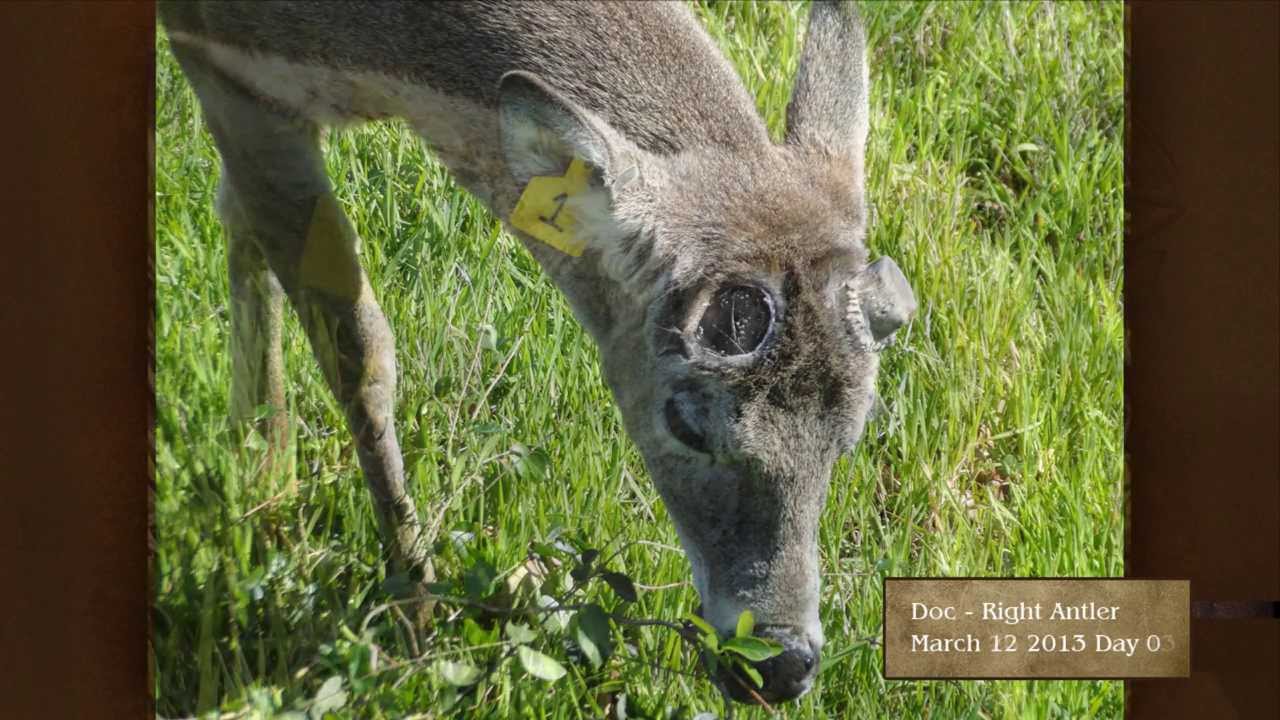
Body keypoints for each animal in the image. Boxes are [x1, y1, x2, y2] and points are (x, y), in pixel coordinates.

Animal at [158, 0, 916, 703]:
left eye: (853, 433)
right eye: (685, 424)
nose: (780, 666)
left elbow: (238, 218)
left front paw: (259, 469)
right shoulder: (227, 65)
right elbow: (359, 349)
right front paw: (413, 612)